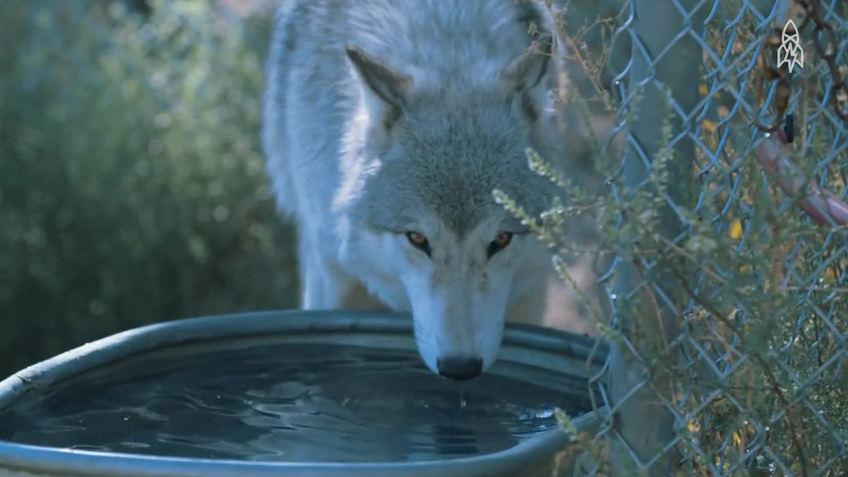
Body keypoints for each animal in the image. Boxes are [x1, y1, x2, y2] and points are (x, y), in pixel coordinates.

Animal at [264, 0, 568, 380]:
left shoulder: (532, 290)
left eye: (500, 240)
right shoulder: (331, 272)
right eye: (417, 239)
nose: (459, 367)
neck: (447, 45)